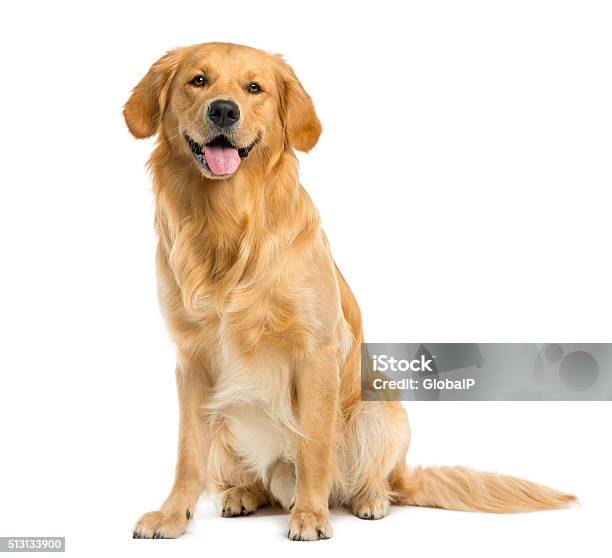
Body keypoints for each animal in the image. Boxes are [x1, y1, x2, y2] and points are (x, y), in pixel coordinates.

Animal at [123, 42, 572, 544]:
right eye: (198, 81)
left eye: (254, 87)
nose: (223, 110)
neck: (226, 222)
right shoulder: (192, 359)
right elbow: (187, 453)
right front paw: (172, 515)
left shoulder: (317, 350)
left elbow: (314, 447)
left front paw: (311, 515)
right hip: (226, 426)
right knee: (252, 480)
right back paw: (241, 493)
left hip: (381, 408)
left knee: (372, 480)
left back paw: (368, 500)